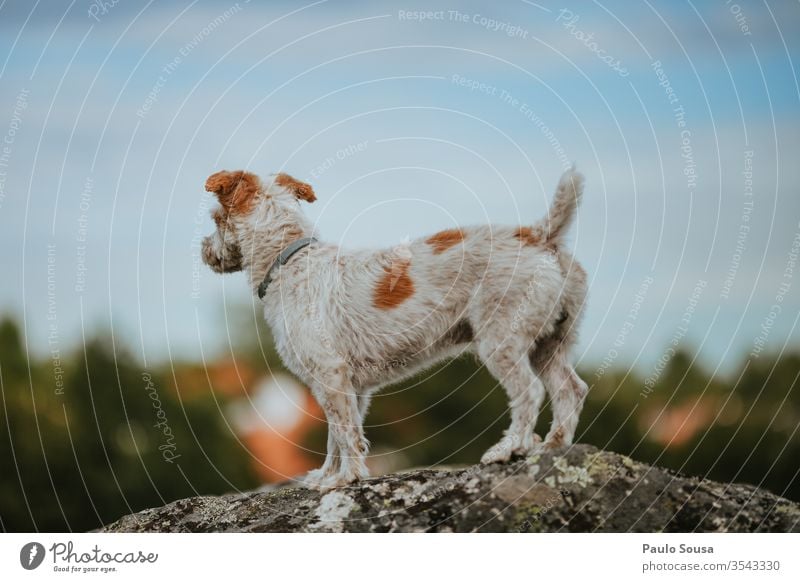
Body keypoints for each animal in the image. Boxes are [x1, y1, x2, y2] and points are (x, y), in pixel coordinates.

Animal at [200, 169, 588, 492]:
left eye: (216, 218)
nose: (204, 251)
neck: (289, 260)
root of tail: (540, 235)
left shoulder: (329, 374)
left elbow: (343, 433)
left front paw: (343, 480)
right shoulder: (348, 387)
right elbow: (339, 435)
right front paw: (328, 476)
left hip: (502, 342)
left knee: (530, 392)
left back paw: (510, 449)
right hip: (550, 344)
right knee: (571, 389)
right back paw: (554, 445)